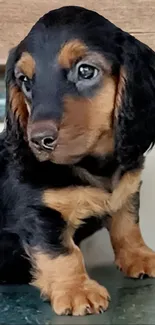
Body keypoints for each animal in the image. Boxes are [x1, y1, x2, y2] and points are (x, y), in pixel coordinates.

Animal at [1, 4, 155, 314]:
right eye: (25, 81)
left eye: (85, 71)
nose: (38, 140)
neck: (89, 163)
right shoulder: (38, 210)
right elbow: (62, 252)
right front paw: (77, 290)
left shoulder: (127, 188)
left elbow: (127, 225)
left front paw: (140, 257)